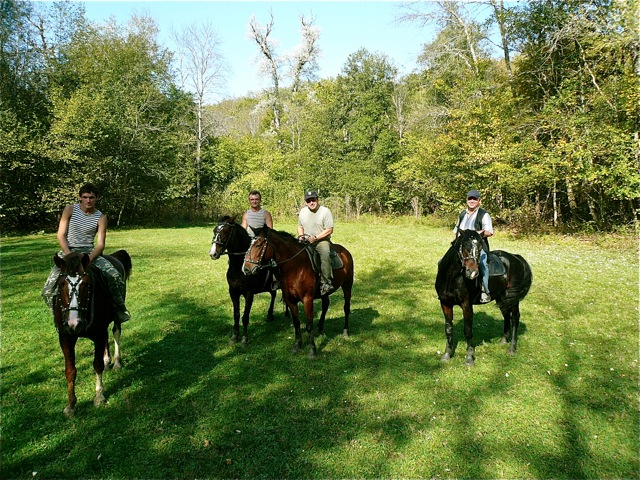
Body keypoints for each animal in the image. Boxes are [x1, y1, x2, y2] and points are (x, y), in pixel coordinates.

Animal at [53, 249, 131, 418]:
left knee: (116, 332)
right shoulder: (65, 337)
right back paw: (108, 361)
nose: (74, 324)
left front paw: (99, 396)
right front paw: (70, 405)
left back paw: (116, 362)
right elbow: (70, 370)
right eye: (61, 284)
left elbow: (97, 365)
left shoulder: (98, 333)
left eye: (86, 284)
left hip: (117, 314)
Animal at [209, 215, 284, 344]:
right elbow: (236, 314)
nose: (213, 253)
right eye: (214, 231)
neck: (239, 267)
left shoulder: (249, 294)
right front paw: (235, 336)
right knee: (273, 294)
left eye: (226, 231)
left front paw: (244, 338)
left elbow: (245, 316)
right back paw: (270, 315)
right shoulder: (233, 292)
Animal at [244, 227, 356, 358]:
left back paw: (345, 331)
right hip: (324, 293)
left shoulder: (307, 299)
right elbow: (296, 323)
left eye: (258, 245)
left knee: (346, 308)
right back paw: (320, 328)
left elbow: (309, 325)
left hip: (347, 285)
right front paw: (297, 345)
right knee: (325, 305)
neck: (295, 267)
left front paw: (312, 350)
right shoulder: (290, 300)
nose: (246, 269)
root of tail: (345, 251)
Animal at [438, 231, 532, 366]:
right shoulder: (445, 303)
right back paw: (504, 340)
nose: (473, 273)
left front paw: (469, 358)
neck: (451, 278)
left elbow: (468, 331)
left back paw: (512, 348)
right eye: (465, 247)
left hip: (512, 298)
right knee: (506, 315)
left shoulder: (466, 305)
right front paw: (447, 354)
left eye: (480, 248)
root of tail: (516, 258)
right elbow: (449, 329)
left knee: (515, 318)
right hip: (502, 298)